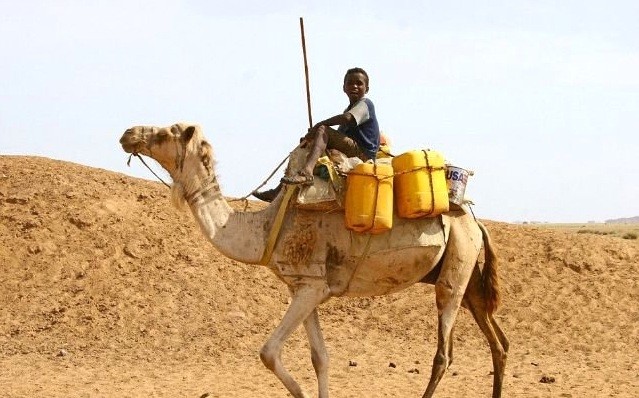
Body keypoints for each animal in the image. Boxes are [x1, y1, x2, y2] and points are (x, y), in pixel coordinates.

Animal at [119, 123, 510, 396]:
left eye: (167, 131)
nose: (128, 133)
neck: (264, 229)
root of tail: (475, 221)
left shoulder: (310, 288)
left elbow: (268, 352)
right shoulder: (306, 287)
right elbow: (320, 358)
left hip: (455, 268)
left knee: (443, 352)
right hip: (467, 273)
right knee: (499, 342)